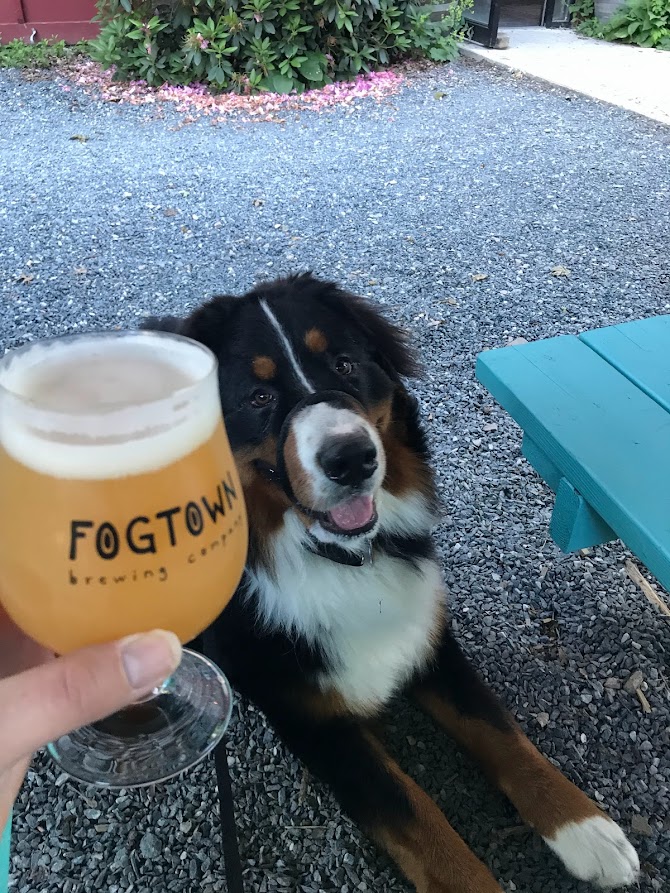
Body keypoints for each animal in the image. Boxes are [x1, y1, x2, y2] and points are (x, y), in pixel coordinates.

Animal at [143, 274, 640, 892]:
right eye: (258, 397)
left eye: (344, 364)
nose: (351, 458)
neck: (342, 559)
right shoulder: (312, 719)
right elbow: (416, 814)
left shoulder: (427, 639)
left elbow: (500, 730)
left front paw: (586, 829)